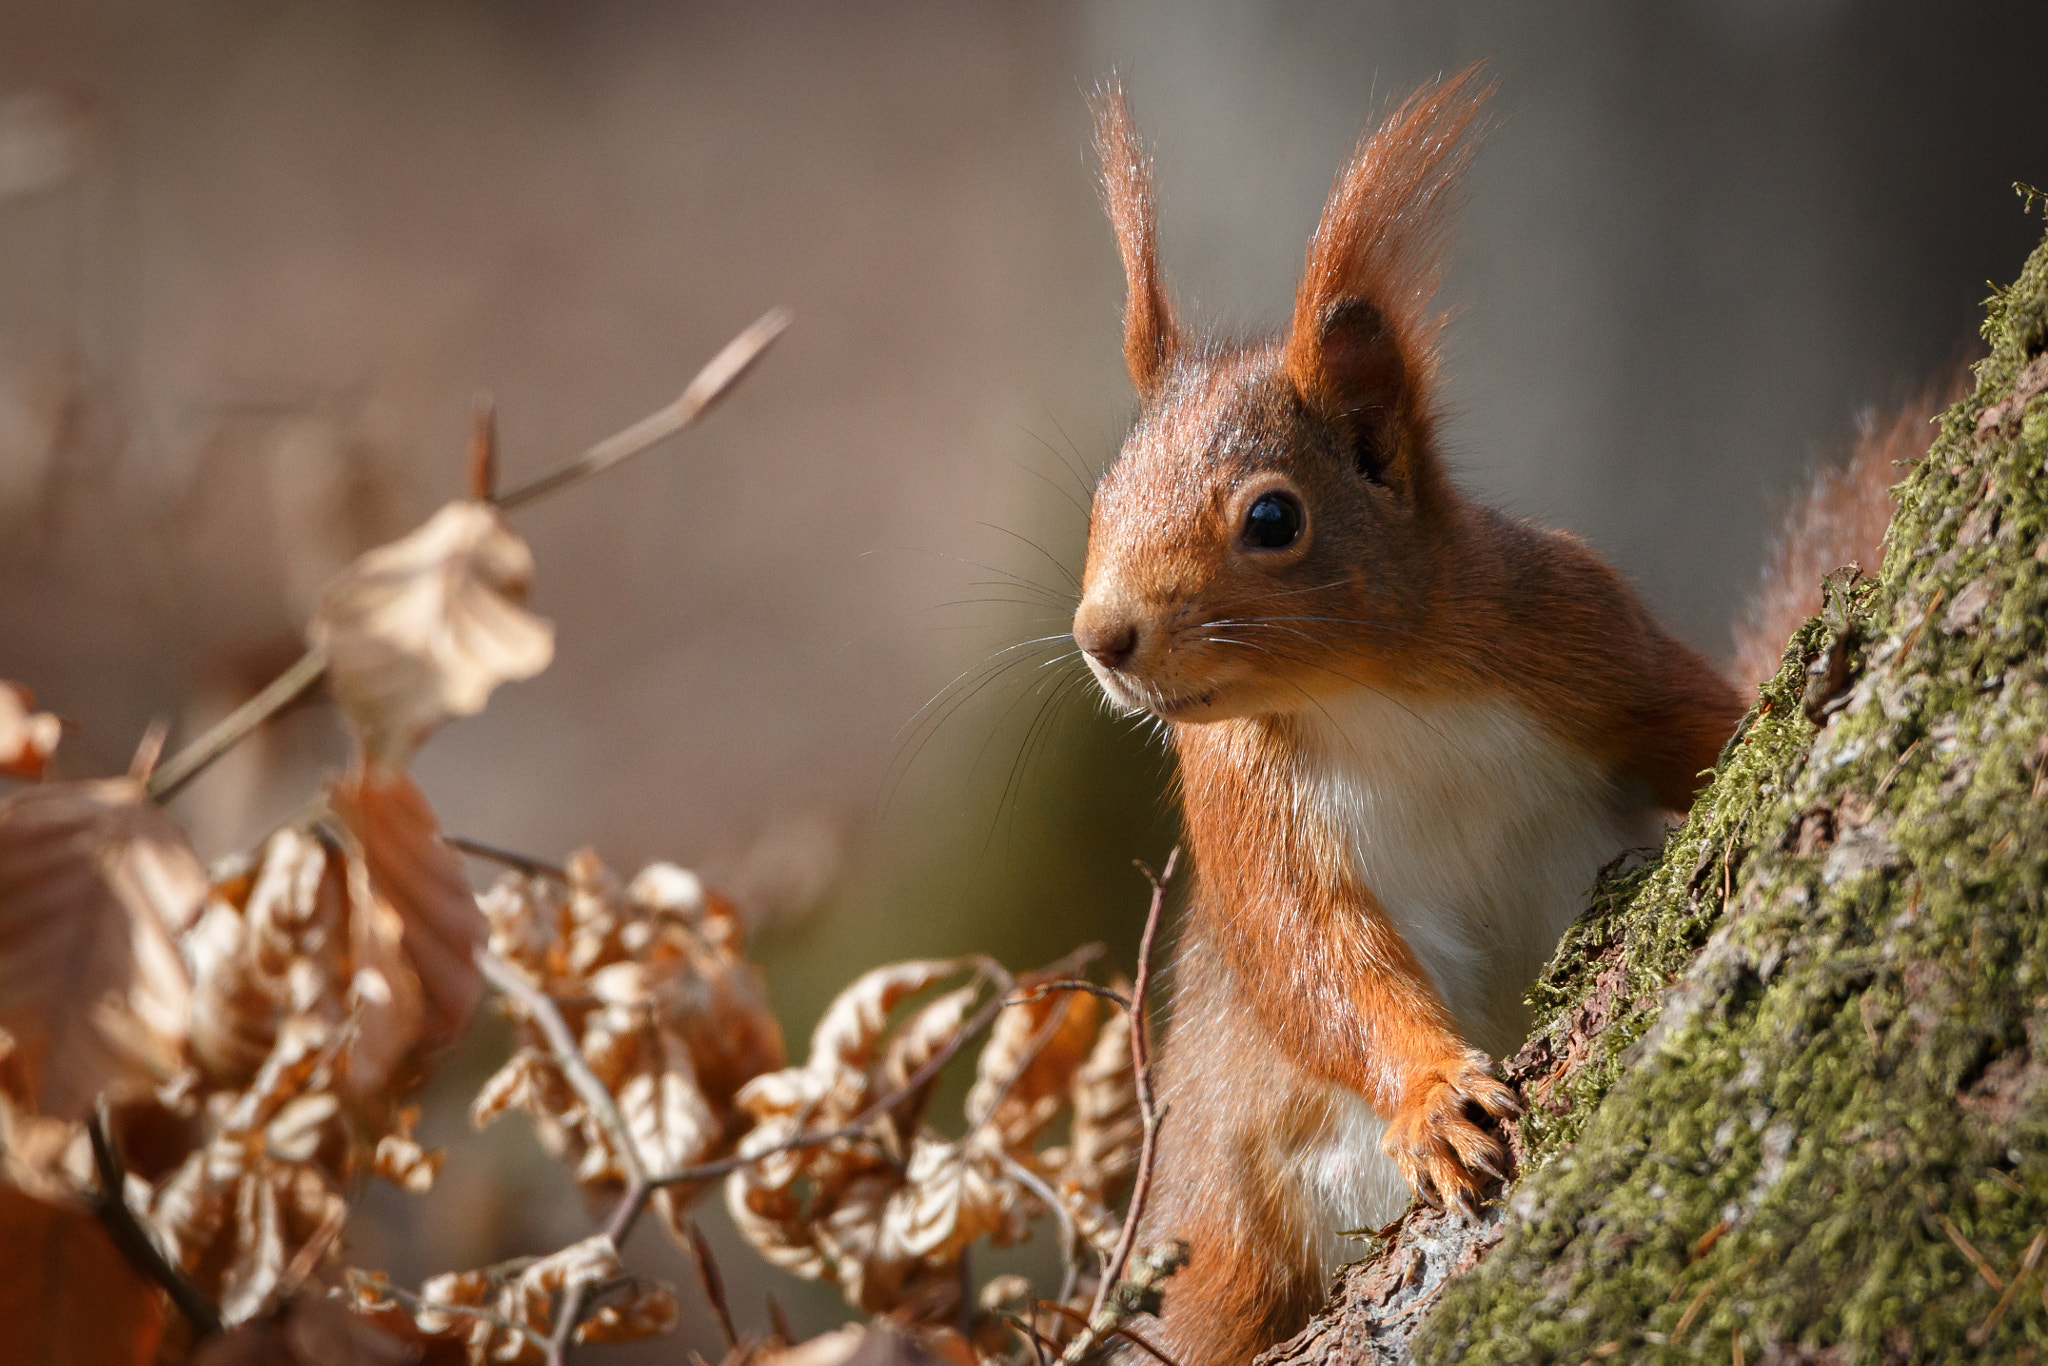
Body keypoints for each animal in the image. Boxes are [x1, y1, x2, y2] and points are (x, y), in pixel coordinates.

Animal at [1069, 65, 1916, 1364]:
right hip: (1226, 1244)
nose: (1100, 635)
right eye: (1100, 496)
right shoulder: (1241, 810)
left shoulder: (1577, 627)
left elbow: (1702, 717)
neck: (1366, 694)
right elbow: (1314, 963)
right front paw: (1431, 1096)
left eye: (1271, 519)